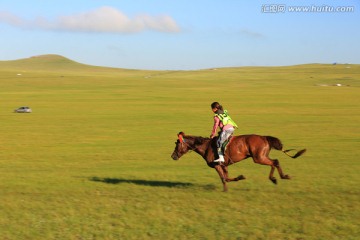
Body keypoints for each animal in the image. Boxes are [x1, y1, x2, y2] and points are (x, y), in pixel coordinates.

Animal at [170, 131, 306, 191]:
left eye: (177, 145)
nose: (173, 156)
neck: (206, 146)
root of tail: (264, 137)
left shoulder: (217, 165)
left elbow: (223, 178)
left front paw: (228, 187)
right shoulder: (224, 165)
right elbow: (226, 177)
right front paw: (238, 179)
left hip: (258, 158)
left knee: (275, 162)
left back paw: (280, 177)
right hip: (262, 157)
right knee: (275, 162)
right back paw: (276, 178)